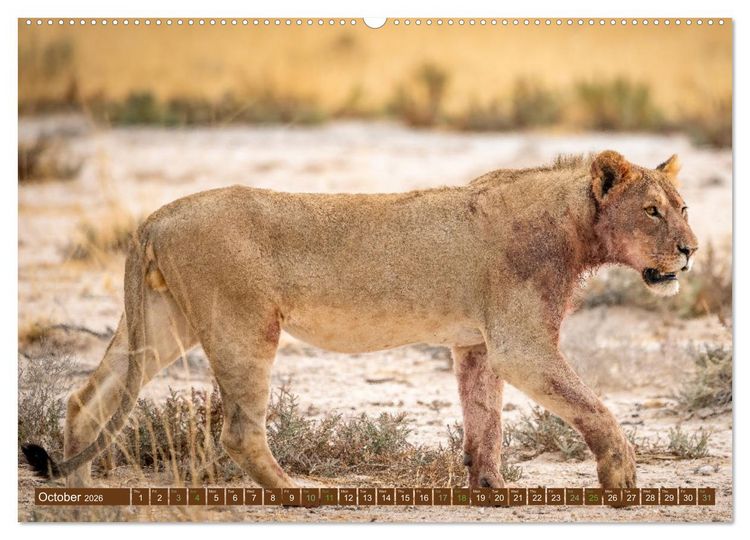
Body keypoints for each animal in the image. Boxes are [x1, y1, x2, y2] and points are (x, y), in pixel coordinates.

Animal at [23, 150, 697, 490]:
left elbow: (485, 420)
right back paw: (297, 494)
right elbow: (593, 405)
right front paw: (622, 475)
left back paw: (81, 495)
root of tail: (154, 218)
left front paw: (492, 489)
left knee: (87, 398)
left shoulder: (478, 345)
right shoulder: (521, 344)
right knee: (238, 431)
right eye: (652, 211)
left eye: (683, 208)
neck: (574, 226)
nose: (690, 250)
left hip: (165, 324)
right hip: (243, 325)